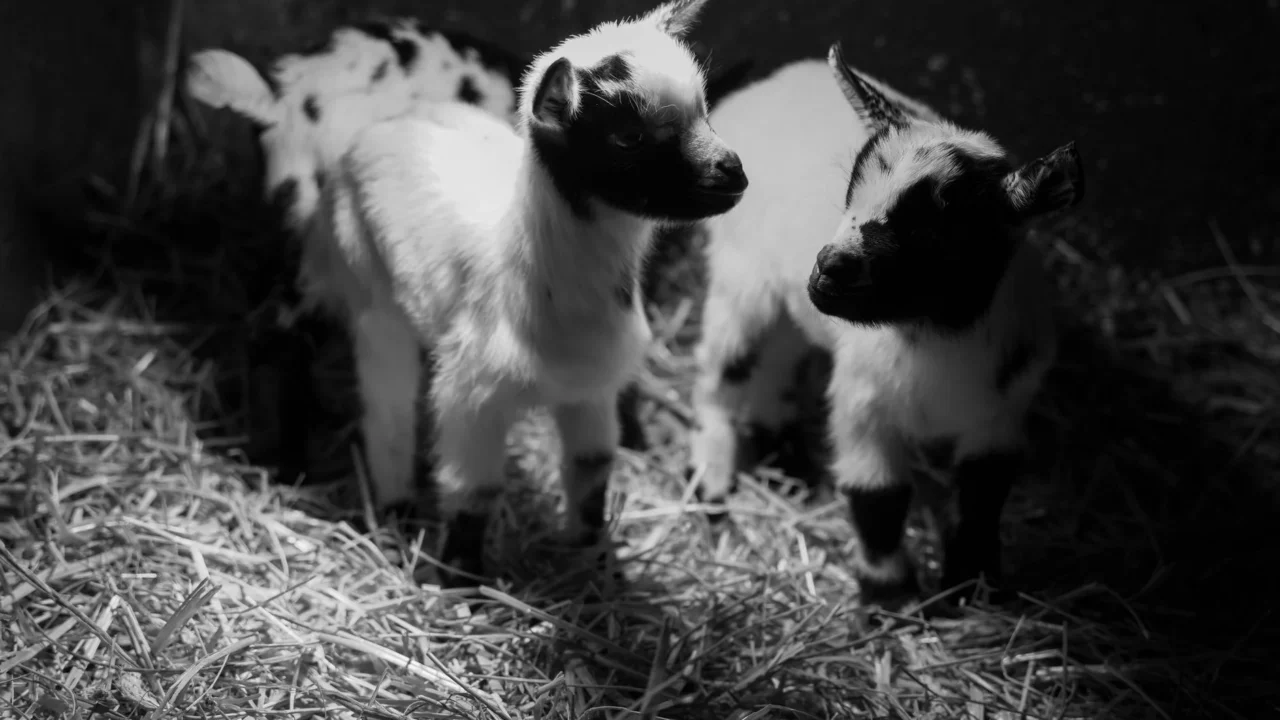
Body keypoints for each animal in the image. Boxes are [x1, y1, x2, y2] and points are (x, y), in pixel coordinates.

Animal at [315, 0, 743, 587]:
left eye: (704, 110)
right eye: (627, 137)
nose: (733, 173)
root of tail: (384, 124)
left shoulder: (592, 390)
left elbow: (590, 476)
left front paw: (596, 566)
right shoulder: (471, 396)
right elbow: (474, 492)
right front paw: (463, 583)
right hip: (369, 291)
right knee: (389, 408)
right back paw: (396, 510)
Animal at [687, 42, 1083, 606]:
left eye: (939, 232)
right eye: (851, 192)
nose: (828, 269)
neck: (936, 339)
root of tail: (754, 92)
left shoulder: (1002, 409)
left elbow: (985, 493)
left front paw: (974, 582)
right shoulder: (863, 403)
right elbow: (878, 497)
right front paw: (890, 594)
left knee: (779, 355)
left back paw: (782, 448)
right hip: (742, 273)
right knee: (723, 367)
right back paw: (713, 476)